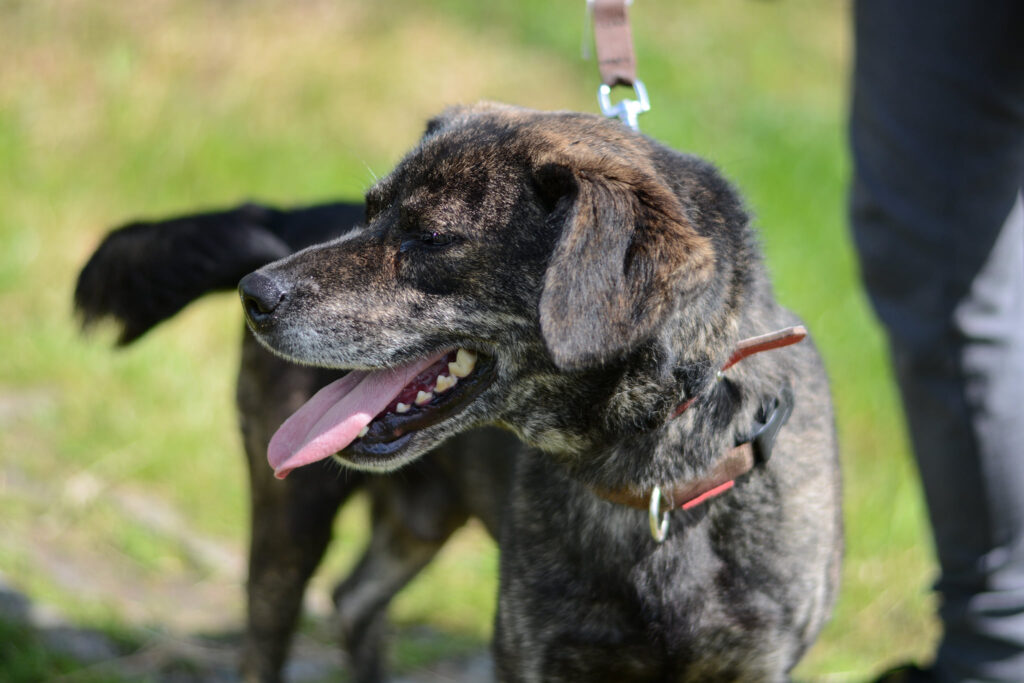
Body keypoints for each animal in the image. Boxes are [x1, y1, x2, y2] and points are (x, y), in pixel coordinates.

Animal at [237, 102, 839, 683]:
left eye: (430, 237)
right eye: (368, 212)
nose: (253, 294)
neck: (652, 478)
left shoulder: (756, 663)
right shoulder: (532, 655)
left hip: (421, 519)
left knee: (354, 597)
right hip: (292, 525)